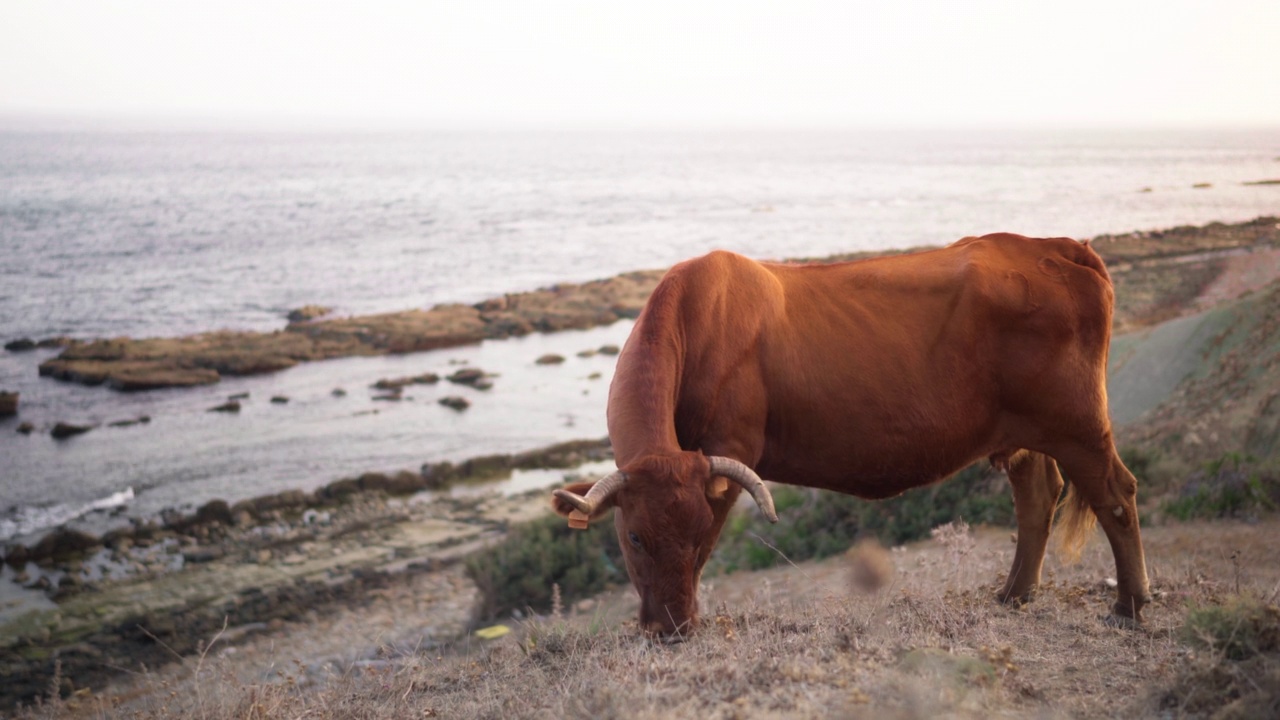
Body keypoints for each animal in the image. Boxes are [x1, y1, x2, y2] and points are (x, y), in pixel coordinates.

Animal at [555, 234, 1157, 632]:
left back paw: (1129, 605)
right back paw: (1014, 595)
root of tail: (1058, 246)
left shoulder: (730, 450)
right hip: (1027, 433)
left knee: (1116, 495)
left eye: (699, 531)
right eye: (634, 536)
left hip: (1079, 424)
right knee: (1038, 497)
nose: (671, 628)